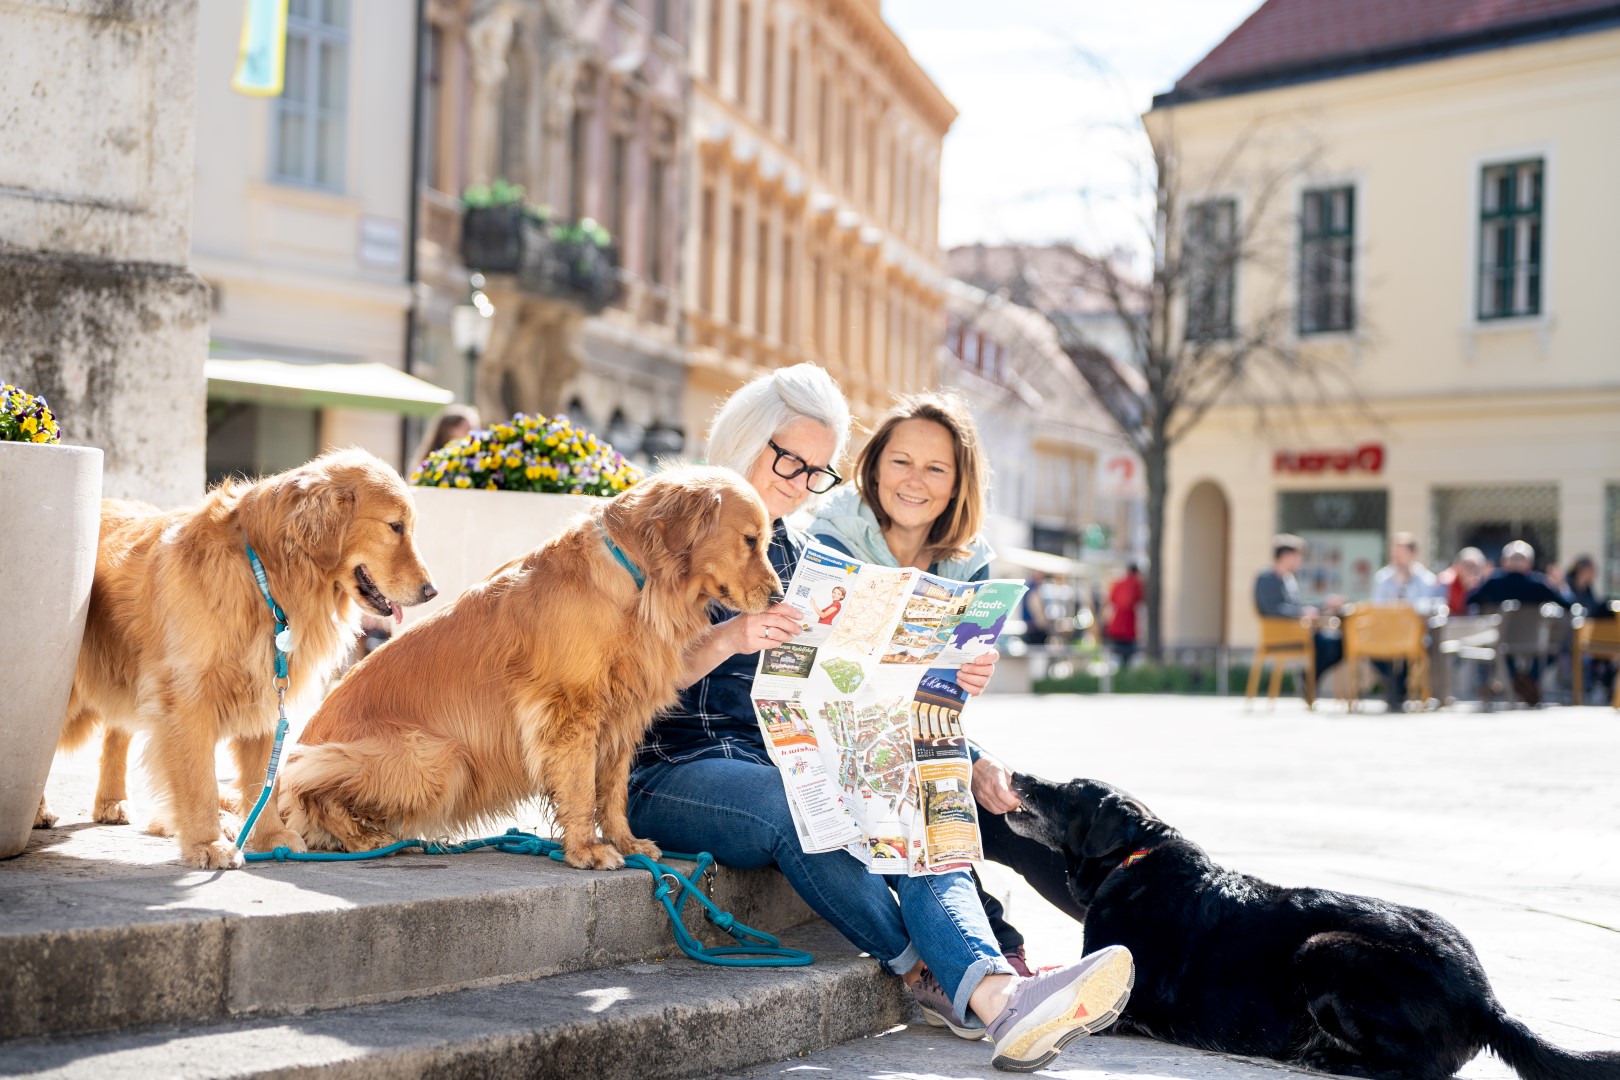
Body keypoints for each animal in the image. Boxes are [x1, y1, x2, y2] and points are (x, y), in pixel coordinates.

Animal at [42, 450, 437, 867]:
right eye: (395, 526)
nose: (433, 591)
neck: (264, 573)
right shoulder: (187, 699)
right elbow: (200, 779)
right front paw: (208, 843)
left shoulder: (267, 691)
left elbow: (264, 778)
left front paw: (272, 837)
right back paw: (39, 811)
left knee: (116, 732)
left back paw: (112, 802)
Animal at [280, 466, 784, 867]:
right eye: (751, 540)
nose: (780, 596)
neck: (639, 582)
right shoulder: (571, 709)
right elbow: (580, 786)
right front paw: (586, 849)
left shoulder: (623, 712)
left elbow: (613, 790)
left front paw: (626, 842)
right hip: (439, 757)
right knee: (306, 789)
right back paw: (362, 836)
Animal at [997, 777, 1620, 1080]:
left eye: (1066, 791)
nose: (1017, 773)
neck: (1133, 858)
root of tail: (1486, 999)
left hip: (1325, 949)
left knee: (1421, 1068)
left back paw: (1325, 1058)